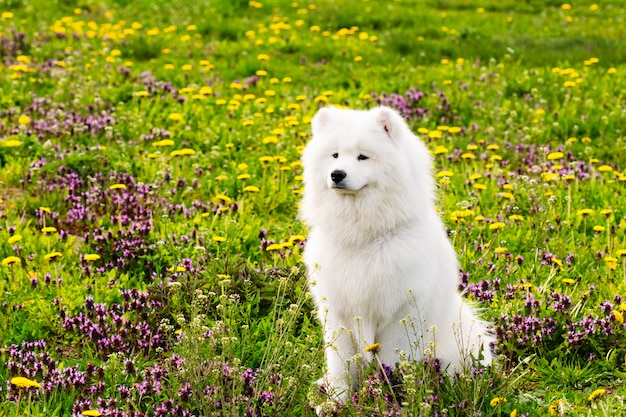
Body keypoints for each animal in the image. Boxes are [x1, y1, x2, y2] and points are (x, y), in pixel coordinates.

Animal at [298, 105, 492, 400]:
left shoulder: (398, 317)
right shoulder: (338, 314)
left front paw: (388, 396)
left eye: (362, 156)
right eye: (335, 155)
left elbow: (389, 364)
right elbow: (341, 365)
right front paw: (336, 401)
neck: (363, 238)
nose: (337, 174)